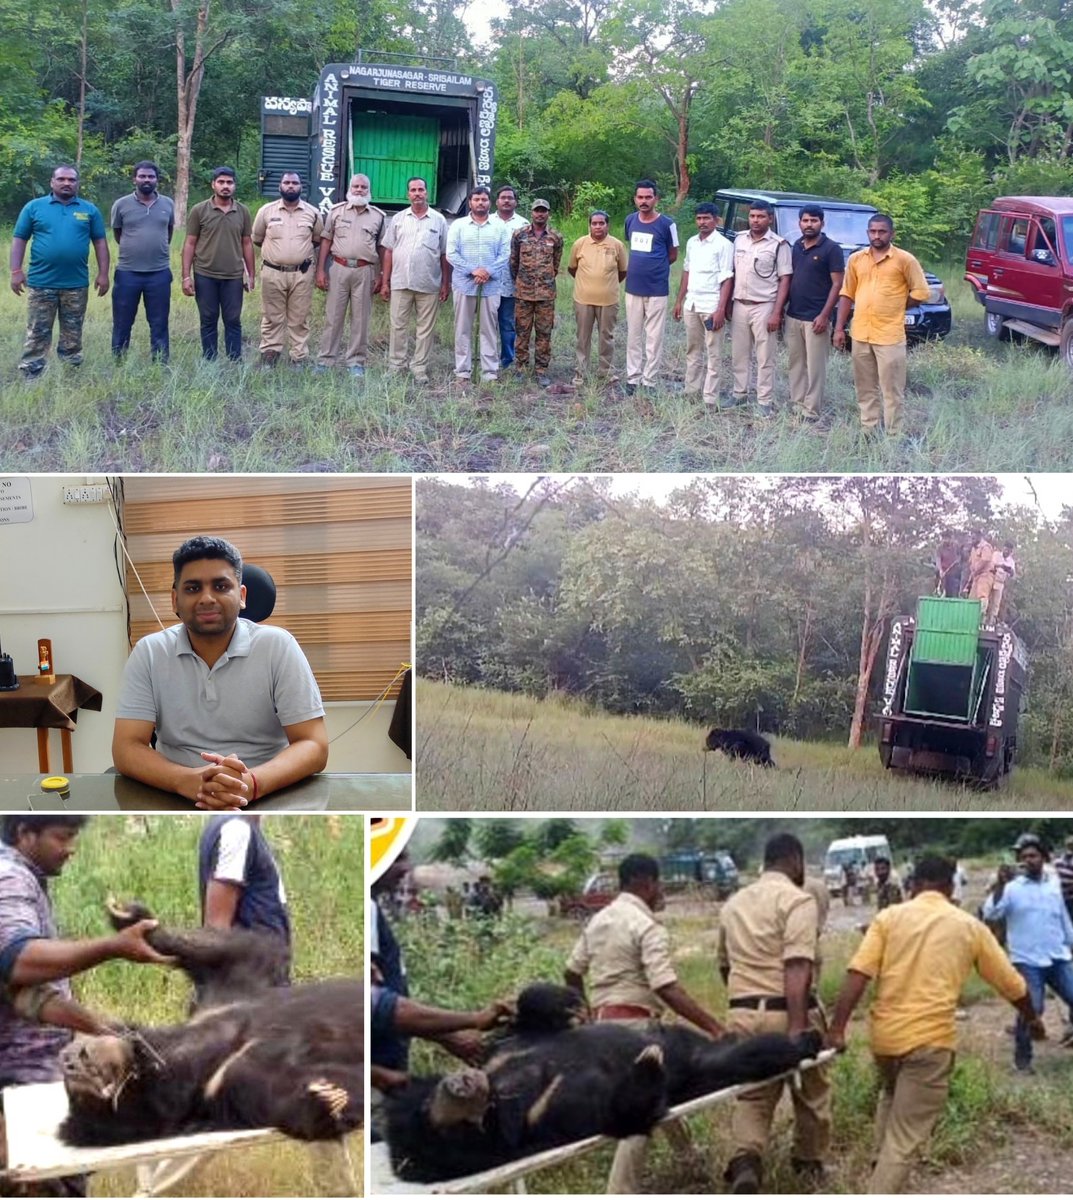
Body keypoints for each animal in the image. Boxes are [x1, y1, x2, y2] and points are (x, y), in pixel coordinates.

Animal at [58, 902, 360, 1147]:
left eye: (74, 1088)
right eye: (82, 1097)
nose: (68, 1059)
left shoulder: (227, 997)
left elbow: (246, 953)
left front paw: (129, 917)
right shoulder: (224, 1083)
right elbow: (284, 1098)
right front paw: (328, 1100)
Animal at [386, 984, 825, 1180]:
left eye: (434, 1101)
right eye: (442, 1116)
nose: (459, 1084)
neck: (502, 1090)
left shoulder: (502, 1051)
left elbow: (525, 1014)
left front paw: (564, 1001)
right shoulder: (538, 1128)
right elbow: (620, 1114)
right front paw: (646, 1065)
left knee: (752, 1050)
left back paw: (809, 1038)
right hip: (702, 1067)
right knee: (742, 1058)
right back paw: (804, 1042)